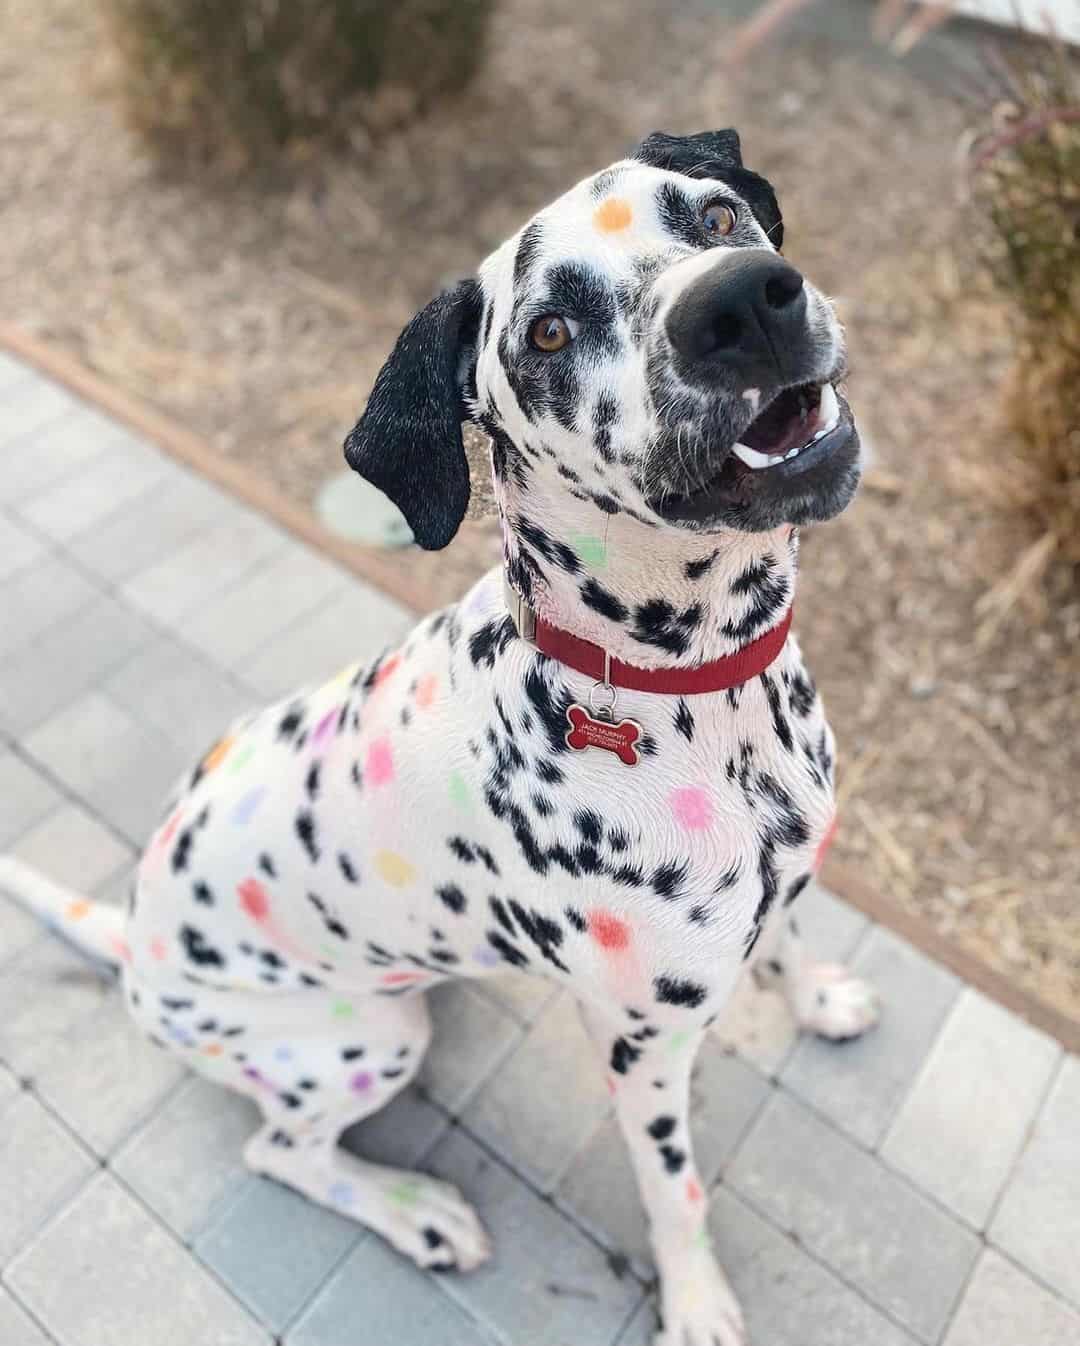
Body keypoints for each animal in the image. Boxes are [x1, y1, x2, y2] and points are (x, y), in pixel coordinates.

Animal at [2, 128, 872, 1346]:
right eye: (548, 332)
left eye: (711, 217)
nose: (743, 302)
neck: (689, 694)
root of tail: (134, 939)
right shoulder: (644, 1048)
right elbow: (677, 1190)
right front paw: (697, 1300)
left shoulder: (781, 882)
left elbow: (788, 940)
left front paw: (820, 995)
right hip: (363, 1040)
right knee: (281, 1150)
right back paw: (415, 1211)